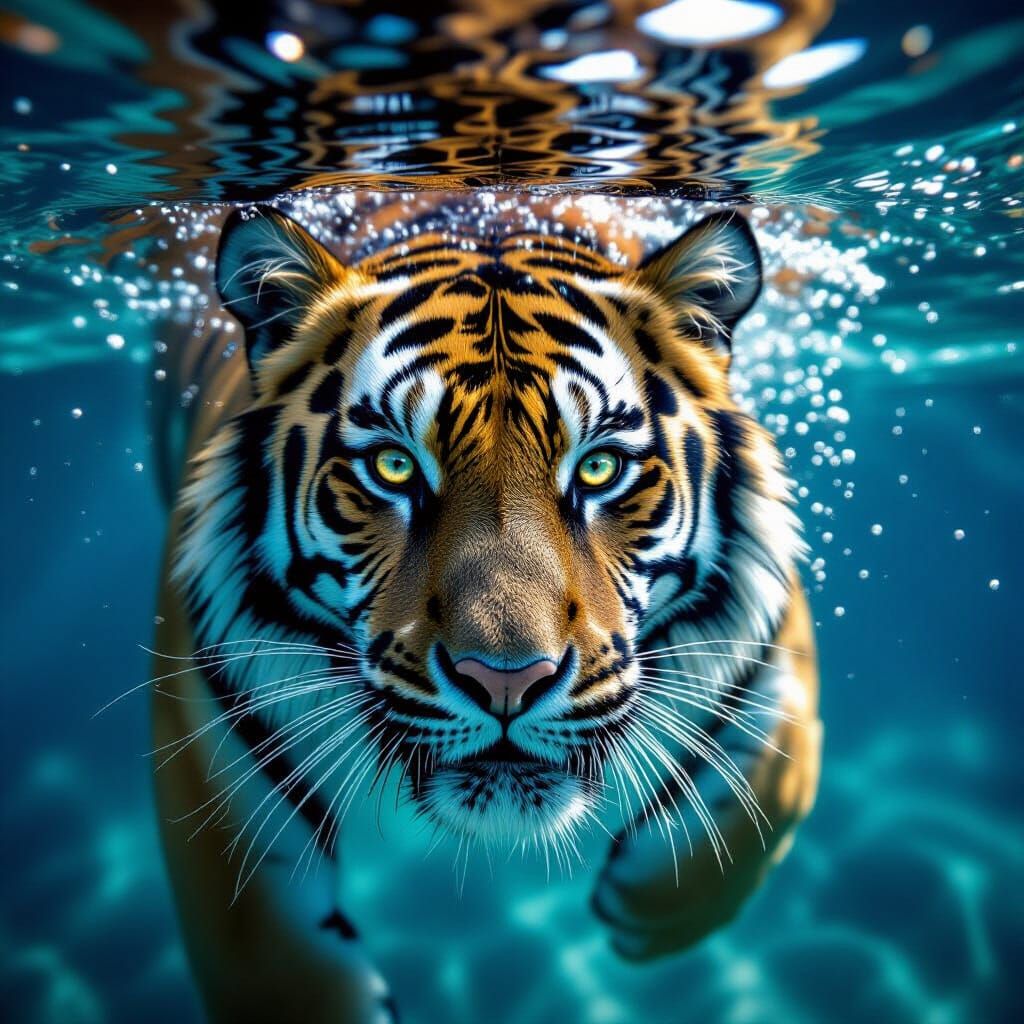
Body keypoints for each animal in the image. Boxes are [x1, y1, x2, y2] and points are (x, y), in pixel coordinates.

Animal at [150, 199, 822, 1022]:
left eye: (599, 468)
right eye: (393, 466)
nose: (507, 680)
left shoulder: (774, 649)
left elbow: (773, 781)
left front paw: (648, 911)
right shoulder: (200, 721)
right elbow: (262, 950)